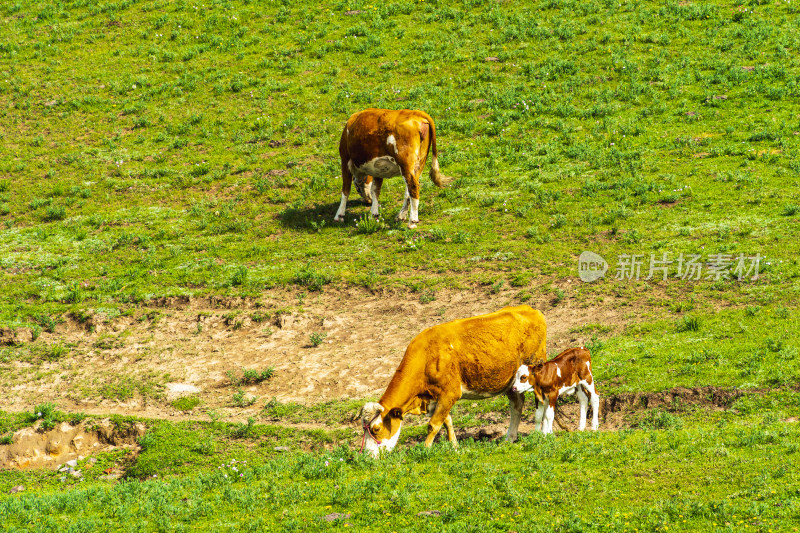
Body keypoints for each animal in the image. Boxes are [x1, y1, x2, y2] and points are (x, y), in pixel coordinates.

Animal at [360, 306, 548, 456]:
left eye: (376, 429)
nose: (368, 456)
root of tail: (531, 310)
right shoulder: (437, 397)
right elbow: (447, 421)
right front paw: (455, 447)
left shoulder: (450, 392)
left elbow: (433, 425)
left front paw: (424, 449)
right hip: (511, 383)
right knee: (517, 405)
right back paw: (509, 438)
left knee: (542, 403)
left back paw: (543, 433)